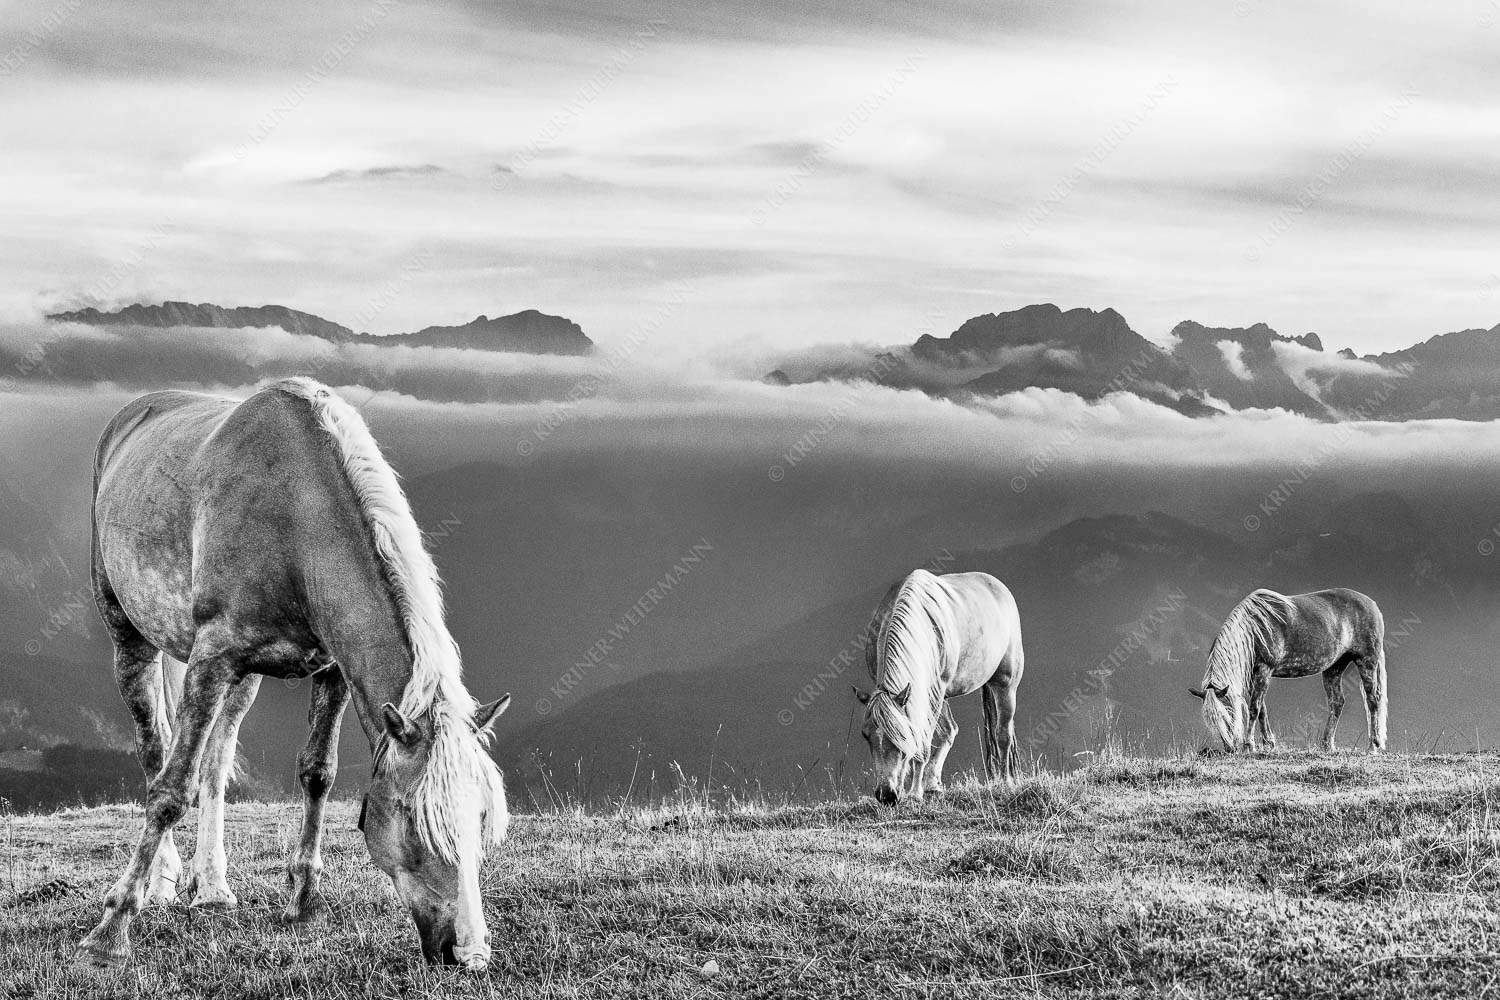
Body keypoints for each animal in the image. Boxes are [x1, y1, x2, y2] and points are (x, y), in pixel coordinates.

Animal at [79, 377, 510, 971]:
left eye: (484, 819)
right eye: (411, 817)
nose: (468, 952)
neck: (297, 524)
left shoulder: (330, 669)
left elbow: (317, 772)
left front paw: (303, 902)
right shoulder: (212, 656)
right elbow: (170, 791)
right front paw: (111, 930)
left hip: (242, 678)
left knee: (216, 761)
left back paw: (212, 887)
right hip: (133, 639)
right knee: (155, 752)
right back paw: (162, 882)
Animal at [853, 569, 1024, 804]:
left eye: (902, 736)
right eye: (865, 734)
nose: (886, 794)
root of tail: (997, 586)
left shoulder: (932, 693)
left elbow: (923, 743)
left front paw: (915, 793)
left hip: (1004, 684)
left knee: (1002, 734)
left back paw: (1005, 782)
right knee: (949, 730)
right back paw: (933, 785)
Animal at [1189, 587, 1387, 753]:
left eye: (1227, 716)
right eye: (1211, 721)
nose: (1229, 749)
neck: (1254, 630)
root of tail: (1372, 604)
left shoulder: (1264, 670)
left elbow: (1254, 707)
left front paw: (1249, 745)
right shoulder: (1255, 675)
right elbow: (1262, 709)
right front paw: (1268, 743)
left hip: (1366, 661)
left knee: (1372, 700)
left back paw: (1373, 745)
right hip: (1334, 668)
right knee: (1337, 702)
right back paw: (1327, 745)